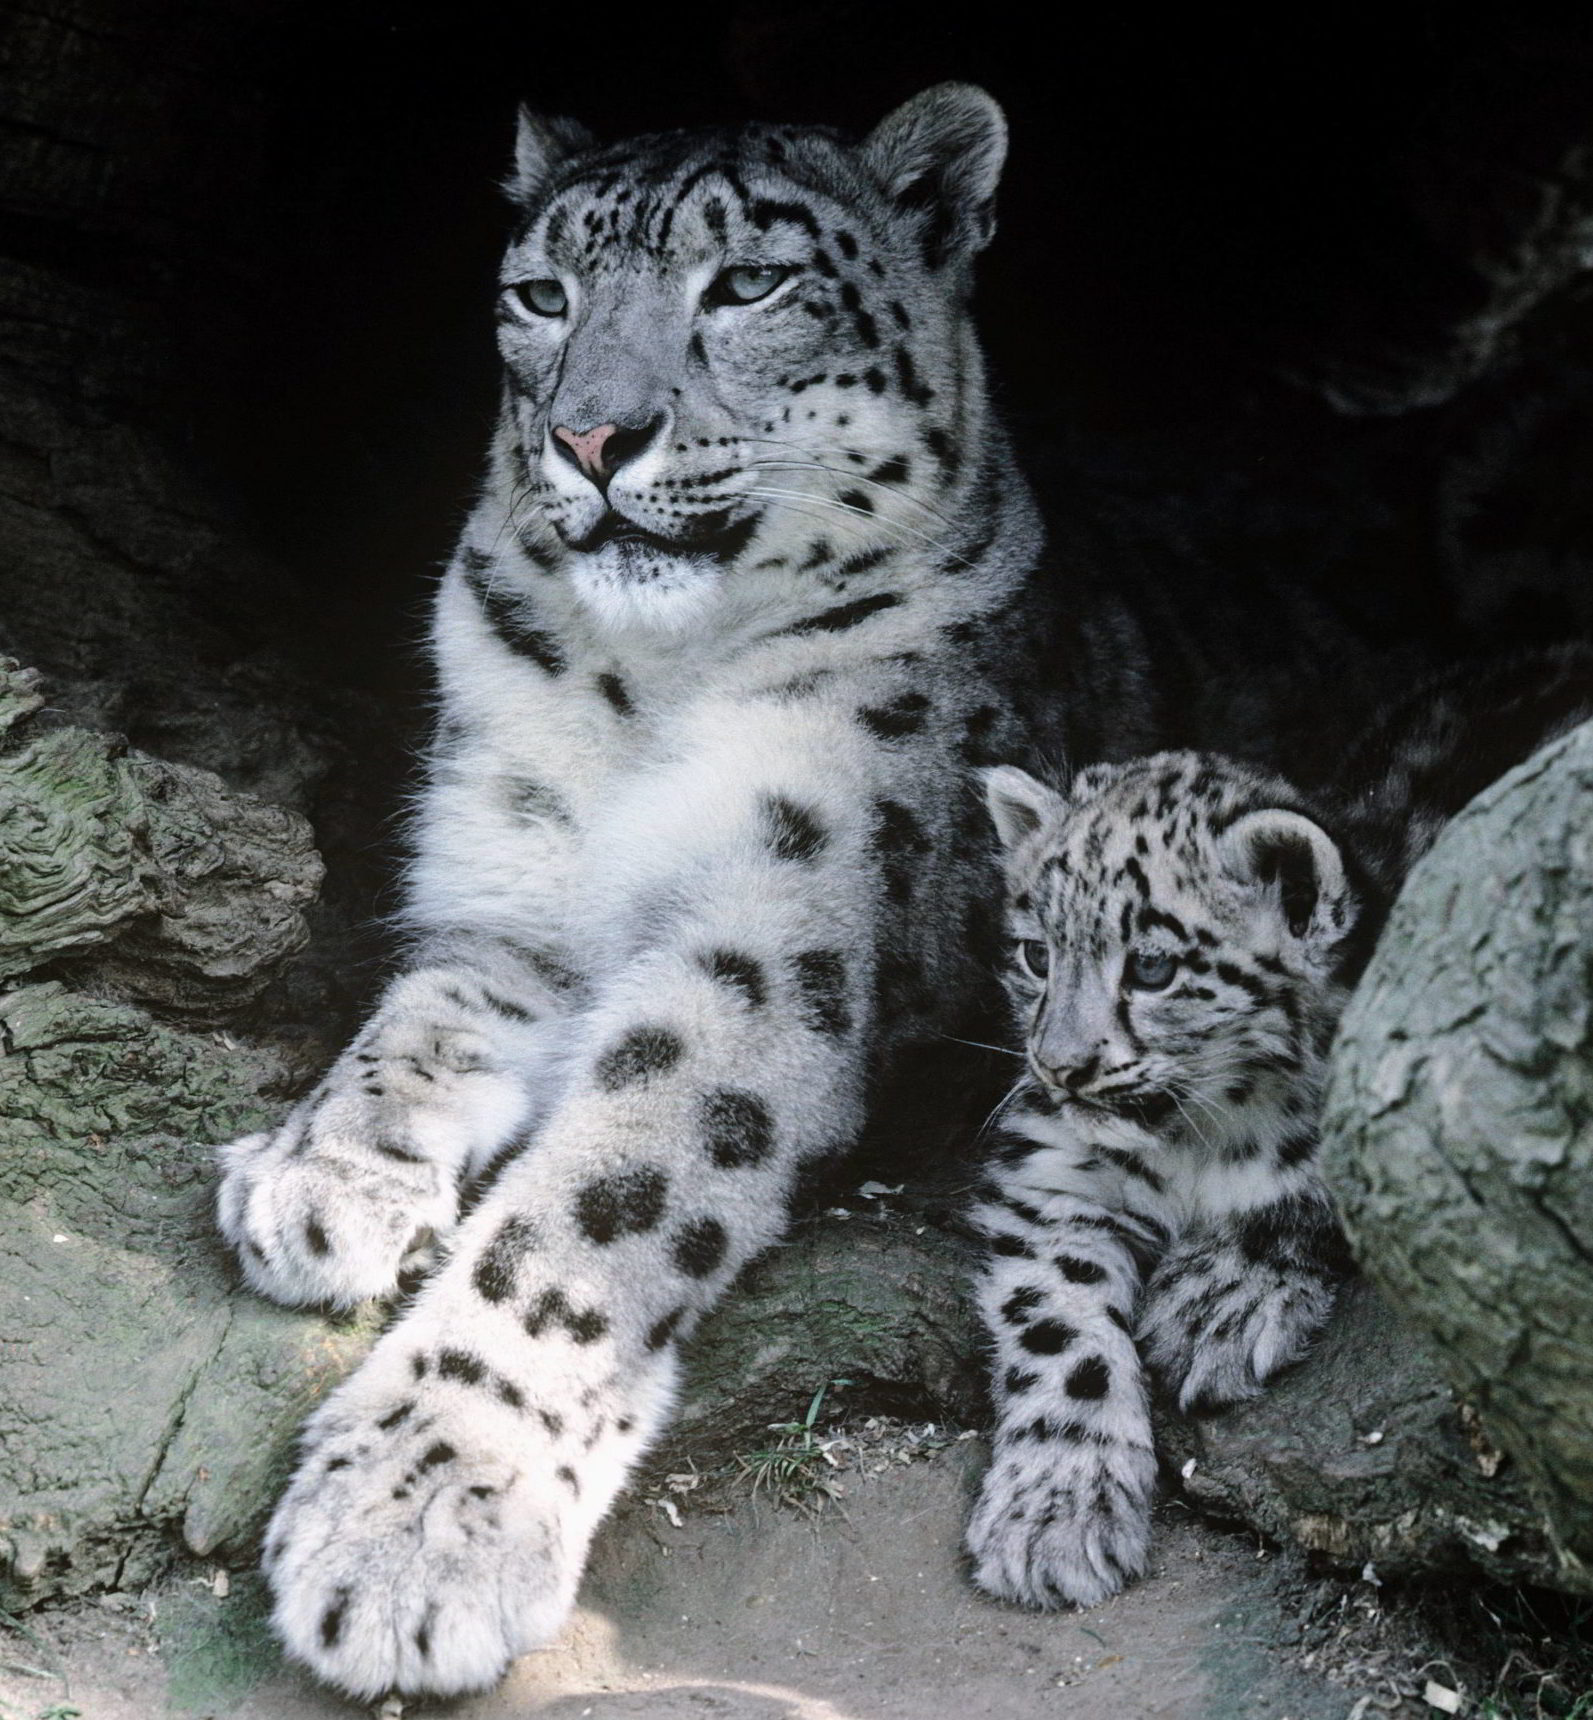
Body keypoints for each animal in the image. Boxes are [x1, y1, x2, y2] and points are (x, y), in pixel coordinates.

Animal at [215, 87, 1059, 1699]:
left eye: (752, 284)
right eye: (541, 295)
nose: (592, 433)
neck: (648, 680)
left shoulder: (772, 944)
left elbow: (589, 1218)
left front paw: (420, 1512)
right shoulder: (512, 892)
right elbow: (415, 1029)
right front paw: (314, 1175)